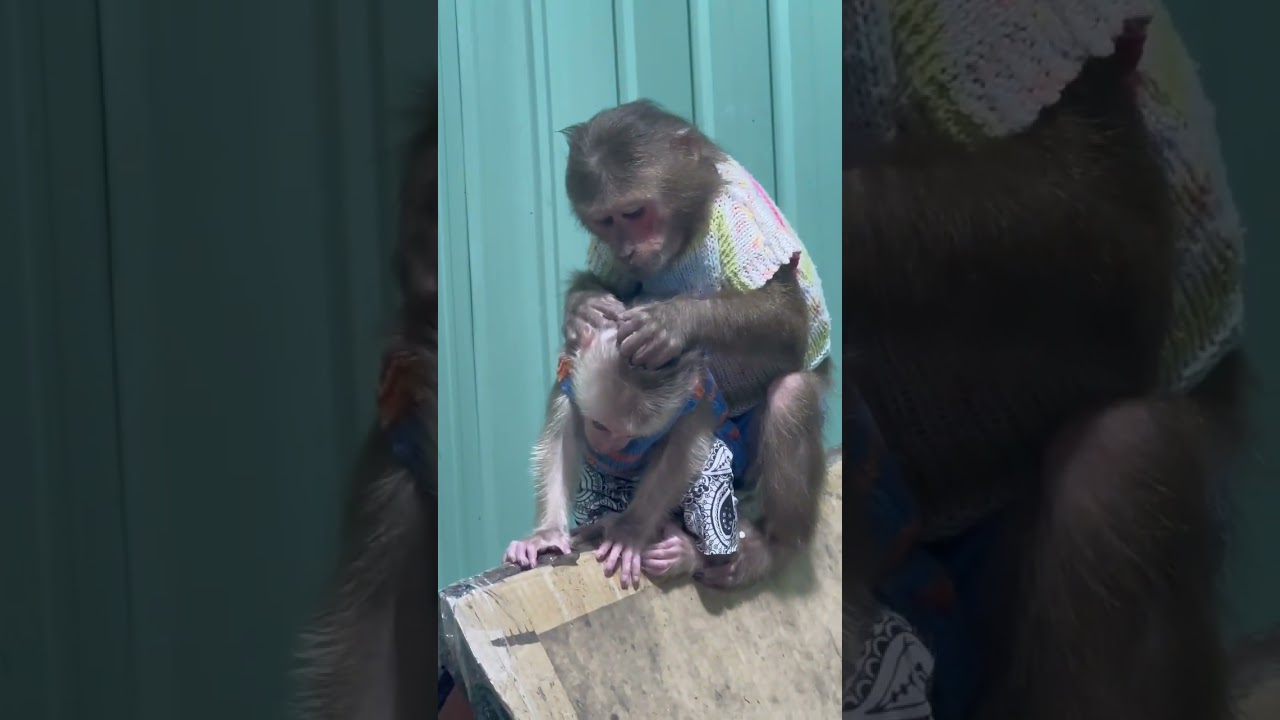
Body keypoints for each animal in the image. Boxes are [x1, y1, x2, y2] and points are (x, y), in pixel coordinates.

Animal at [504, 318, 750, 590]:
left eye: (630, 436)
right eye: (599, 425)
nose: (608, 446)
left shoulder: (694, 395)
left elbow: (683, 450)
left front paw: (629, 532)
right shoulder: (567, 374)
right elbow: (560, 442)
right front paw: (547, 534)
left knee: (711, 459)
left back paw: (687, 556)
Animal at [558, 99, 835, 591]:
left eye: (634, 212)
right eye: (606, 221)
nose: (627, 249)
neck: (688, 229)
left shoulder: (738, 221)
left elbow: (789, 322)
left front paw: (675, 320)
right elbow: (606, 287)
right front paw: (584, 306)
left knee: (792, 395)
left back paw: (774, 547)